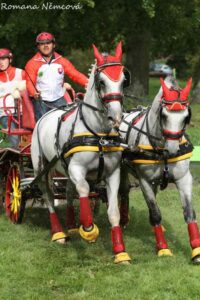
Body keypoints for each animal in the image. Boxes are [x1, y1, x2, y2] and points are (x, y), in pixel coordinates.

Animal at [30, 41, 131, 262]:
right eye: (101, 82)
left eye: (123, 80)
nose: (116, 117)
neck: (98, 133)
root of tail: (45, 116)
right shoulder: (77, 169)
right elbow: (84, 189)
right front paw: (88, 229)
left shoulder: (112, 173)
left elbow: (113, 212)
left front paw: (120, 251)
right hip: (41, 167)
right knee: (49, 196)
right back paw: (59, 232)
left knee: (68, 192)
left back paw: (70, 225)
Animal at [119, 76, 200, 264]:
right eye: (163, 115)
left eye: (186, 116)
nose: (172, 150)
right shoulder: (145, 181)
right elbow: (155, 212)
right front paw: (163, 248)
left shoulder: (184, 179)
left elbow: (189, 213)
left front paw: (196, 250)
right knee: (123, 191)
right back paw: (124, 219)